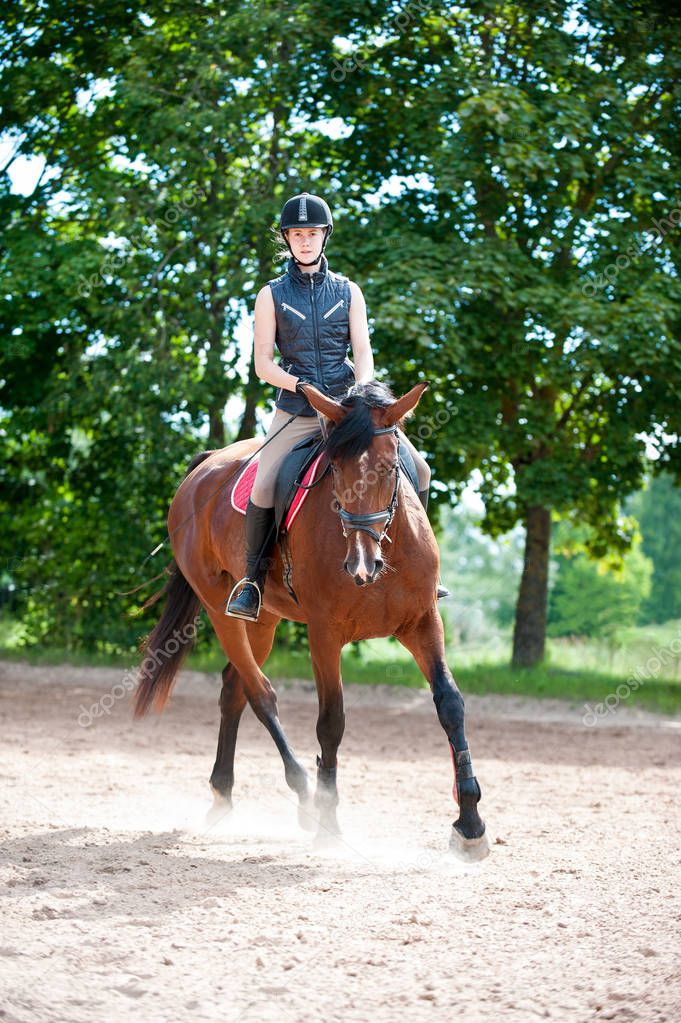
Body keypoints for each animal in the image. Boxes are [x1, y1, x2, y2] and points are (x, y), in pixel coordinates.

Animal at [134, 380, 488, 859]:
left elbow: (450, 704)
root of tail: (205, 465)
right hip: (218, 607)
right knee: (259, 692)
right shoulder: (324, 633)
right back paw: (304, 793)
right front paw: (330, 822)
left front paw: (470, 824)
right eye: (334, 469)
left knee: (233, 688)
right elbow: (331, 721)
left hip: (264, 620)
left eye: (389, 467)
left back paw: (224, 793)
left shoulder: (423, 623)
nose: (361, 565)